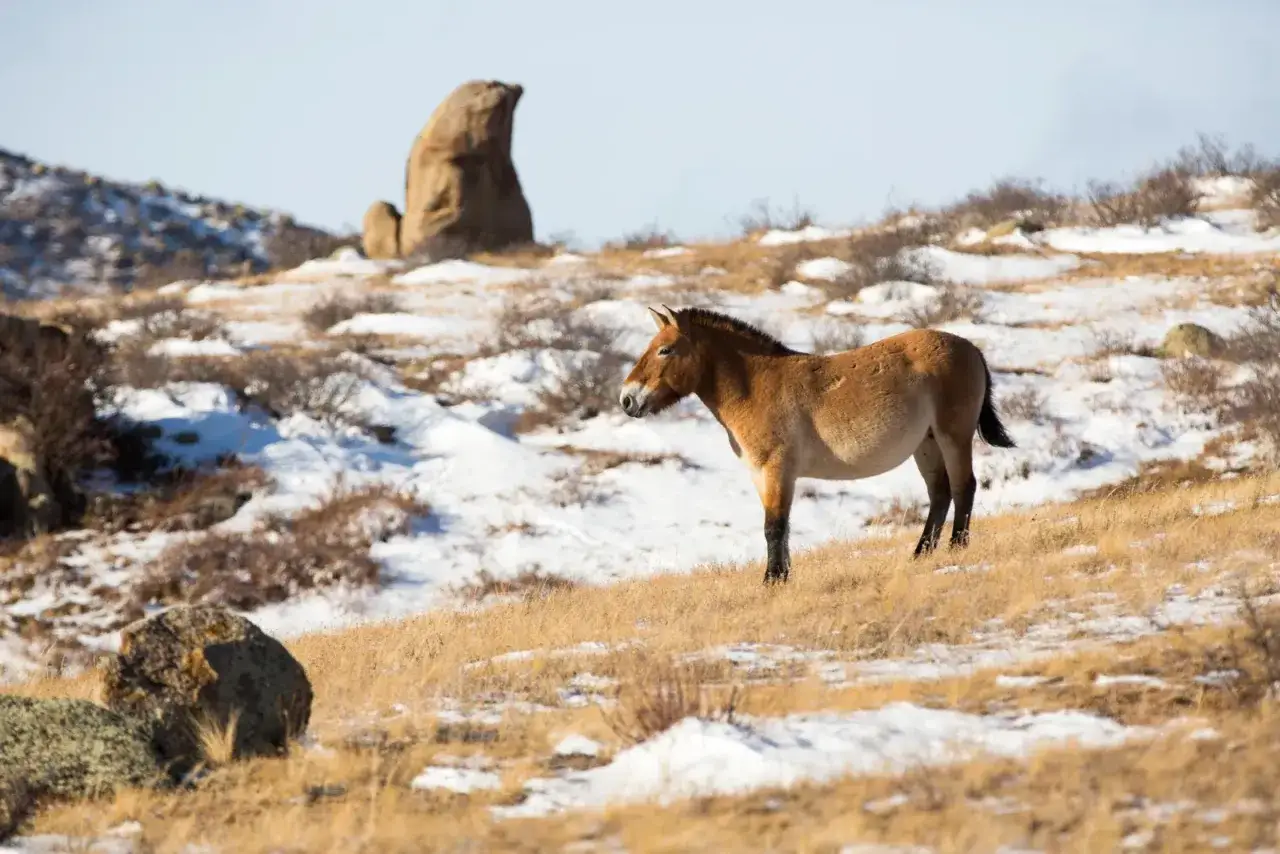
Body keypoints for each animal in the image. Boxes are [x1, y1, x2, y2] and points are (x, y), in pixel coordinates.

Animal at [618, 305, 1016, 585]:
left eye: (665, 350)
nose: (627, 399)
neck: (755, 385)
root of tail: (970, 348)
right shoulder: (763, 475)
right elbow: (778, 526)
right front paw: (781, 577)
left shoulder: (778, 469)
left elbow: (774, 527)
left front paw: (772, 582)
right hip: (927, 445)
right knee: (940, 494)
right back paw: (921, 555)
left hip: (953, 436)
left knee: (963, 488)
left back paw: (956, 549)